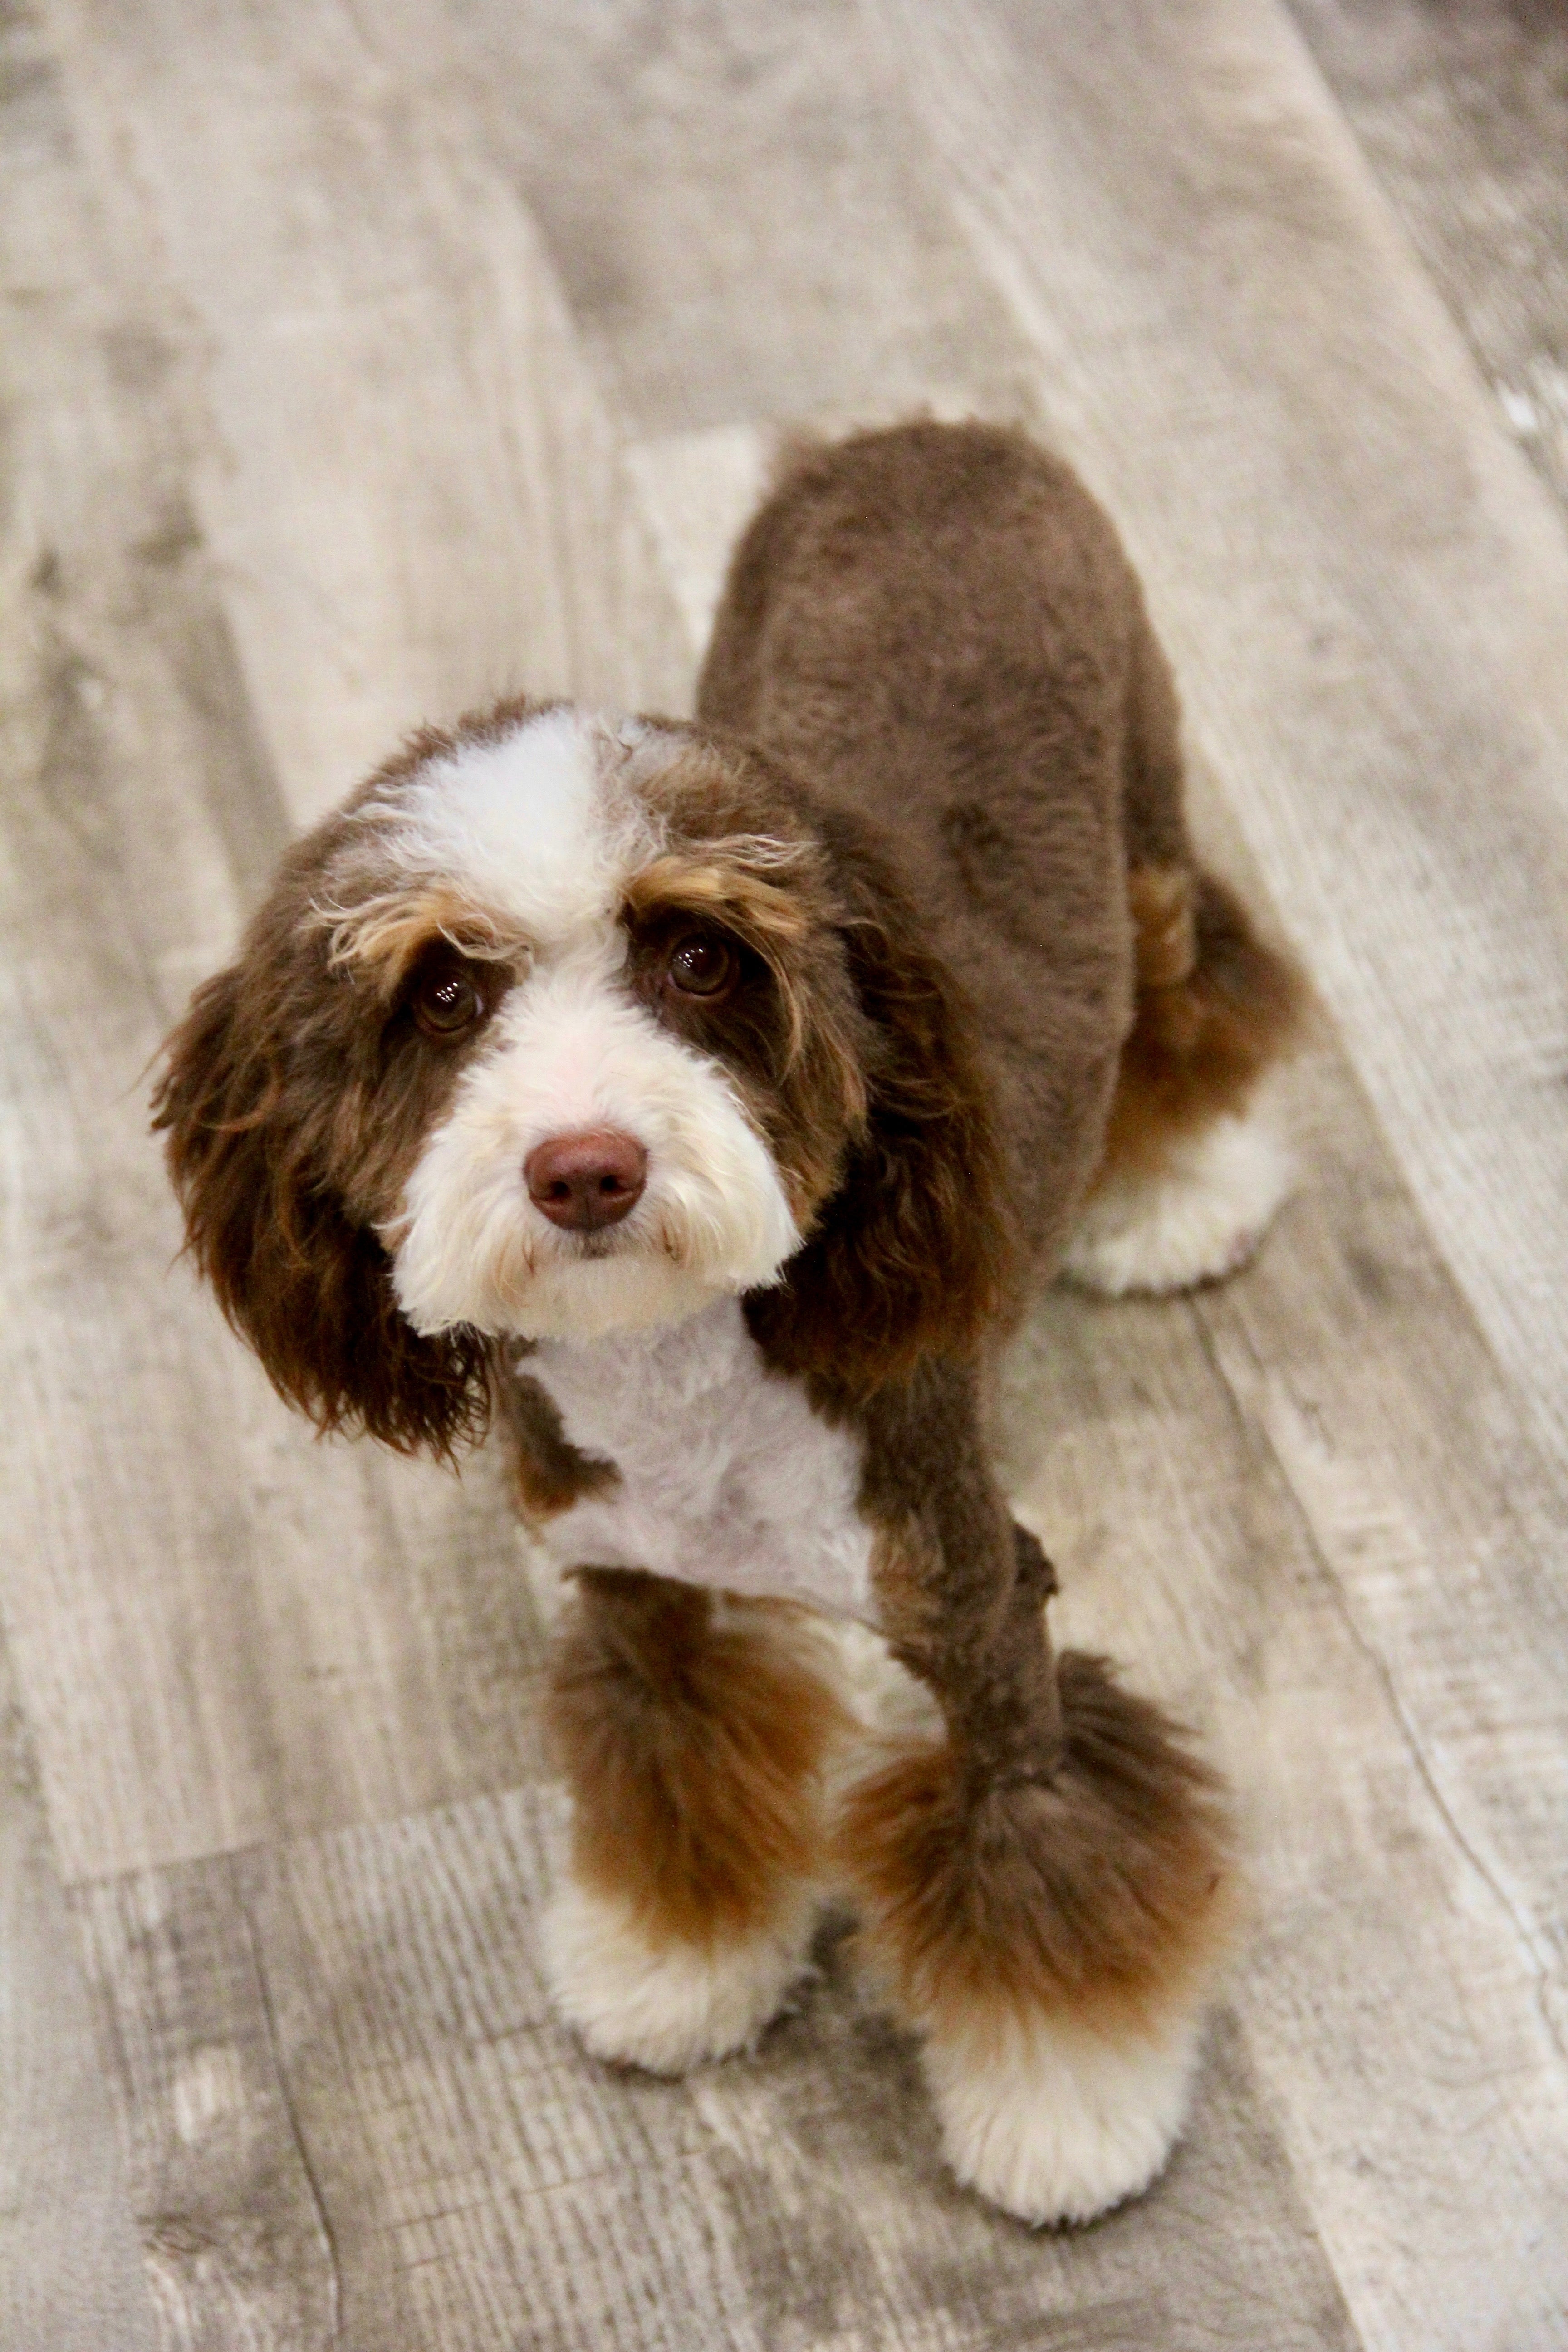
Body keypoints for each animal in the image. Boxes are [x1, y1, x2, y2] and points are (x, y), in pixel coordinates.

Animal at [152, 418, 1298, 2220]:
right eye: (443, 991)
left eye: (700, 959)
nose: (586, 1166)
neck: (682, 1372)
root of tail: (932, 432)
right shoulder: (631, 1590)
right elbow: (669, 1776)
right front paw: (671, 1970)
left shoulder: (980, 1609)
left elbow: (1032, 1844)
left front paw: (1064, 2111)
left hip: (1146, 793)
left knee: (1192, 972)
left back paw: (1183, 1189)